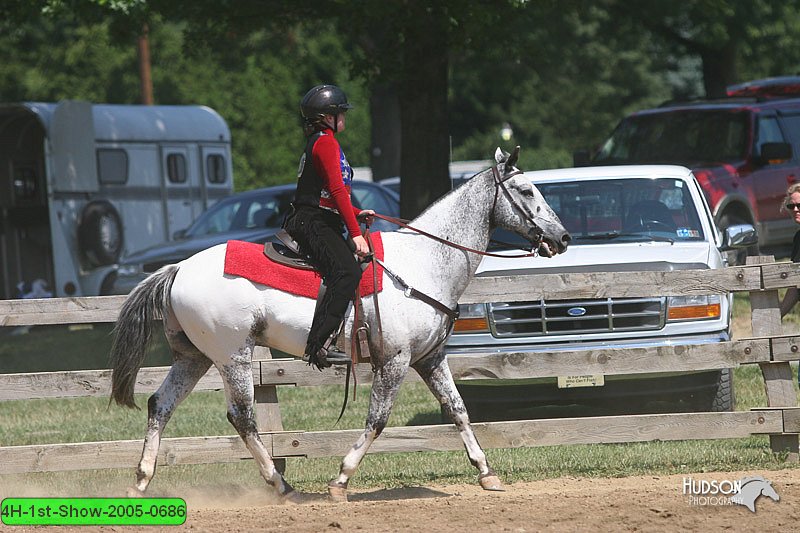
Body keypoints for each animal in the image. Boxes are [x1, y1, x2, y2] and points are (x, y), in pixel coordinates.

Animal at [109, 148, 572, 500]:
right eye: (526, 190)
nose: (563, 238)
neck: (423, 264)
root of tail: (178, 269)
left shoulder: (430, 358)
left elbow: (458, 410)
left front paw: (487, 473)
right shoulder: (395, 361)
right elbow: (377, 420)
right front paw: (341, 480)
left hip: (194, 357)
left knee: (160, 405)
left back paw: (140, 482)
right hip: (233, 356)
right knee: (242, 418)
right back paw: (282, 486)